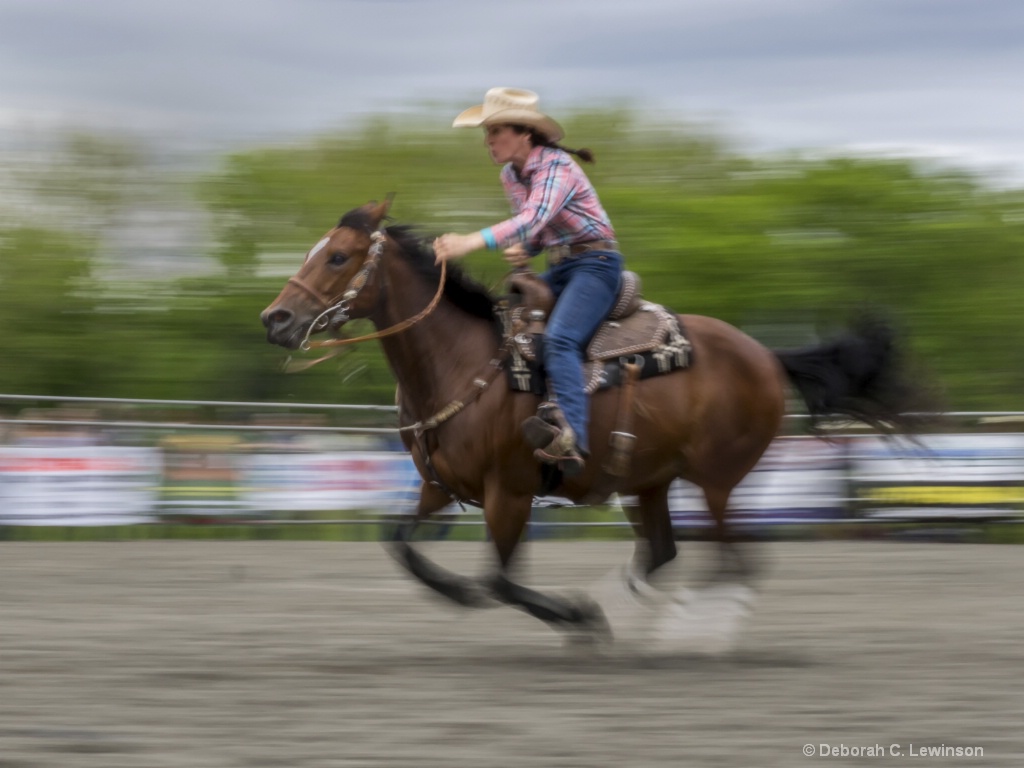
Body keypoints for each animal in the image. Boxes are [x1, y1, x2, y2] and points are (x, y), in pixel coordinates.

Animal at [260, 201, 925, 647]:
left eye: (338, 256)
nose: (276, 318)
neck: (462, 362)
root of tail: (765, 354)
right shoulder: (439, 487)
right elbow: (401, 546)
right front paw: (483, 596)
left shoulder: (511, 493)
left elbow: (499, 582)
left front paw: (575, 616)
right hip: (649, 482)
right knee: (662, 552)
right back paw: (625, 615)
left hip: (717, 479)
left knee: (735, 561)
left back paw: (691, 634)